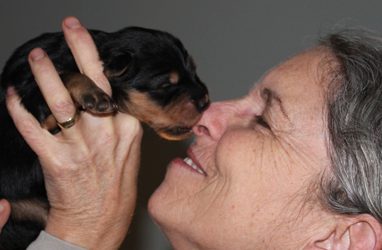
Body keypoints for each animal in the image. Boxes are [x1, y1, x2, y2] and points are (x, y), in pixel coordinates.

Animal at [0, 26, 209, 250]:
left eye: (194, 72)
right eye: (165, 85)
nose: (206, 101)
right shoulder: (33, 98)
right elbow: (65, 74)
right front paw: (94, 95)